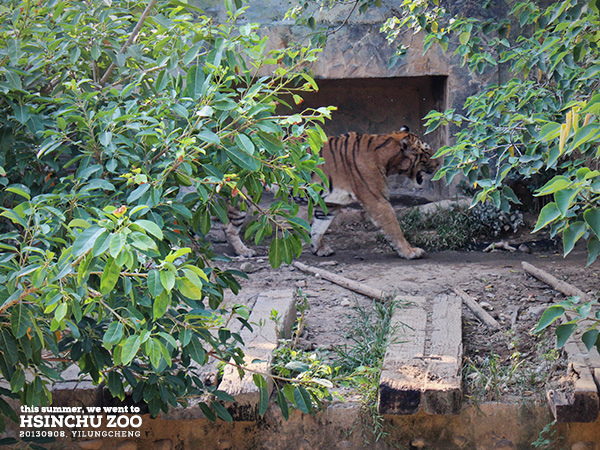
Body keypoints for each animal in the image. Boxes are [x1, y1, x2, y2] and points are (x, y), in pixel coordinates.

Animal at [312, 126, 438, 260]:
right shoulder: (376, 199)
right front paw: (409, 251)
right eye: (427, 152)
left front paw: (319, 249)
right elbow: (393, 226)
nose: (439, 163)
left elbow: (319, 226)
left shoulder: (330, 203)